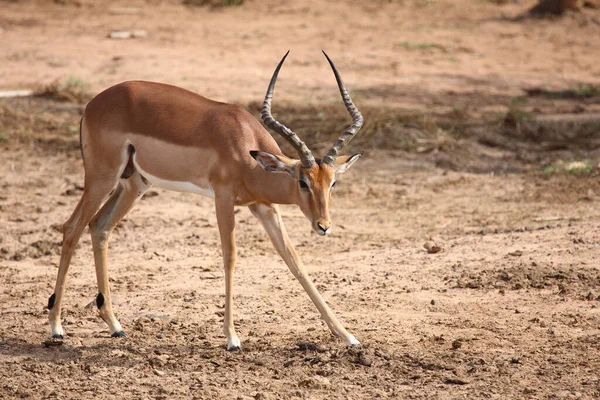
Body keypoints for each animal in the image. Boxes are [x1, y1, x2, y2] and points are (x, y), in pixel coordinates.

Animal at [47, 50, 364, 350]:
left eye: (332, 182)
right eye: (302, 182)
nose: (323, 225)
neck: (244, 148)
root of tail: (93, 103)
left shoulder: (264, 206)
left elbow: (293, 259)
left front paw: (347, 335)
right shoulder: (223, 198)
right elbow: (230, 256)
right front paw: (232, 338)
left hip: (134, 184)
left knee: (99, 227)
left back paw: (115, 325)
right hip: (102, 178)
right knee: (72, 228)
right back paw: (56, 328)